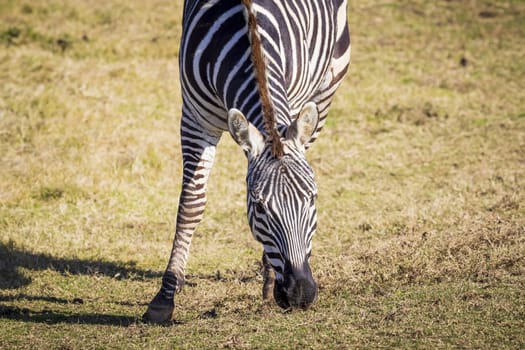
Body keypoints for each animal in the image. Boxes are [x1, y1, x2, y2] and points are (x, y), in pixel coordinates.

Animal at [143, 0, 348, 322]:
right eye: (260, 207)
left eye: (313, 199)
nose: (301, 294)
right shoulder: (195, 118)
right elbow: (190, 205)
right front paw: (164, 298)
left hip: (328, 84)